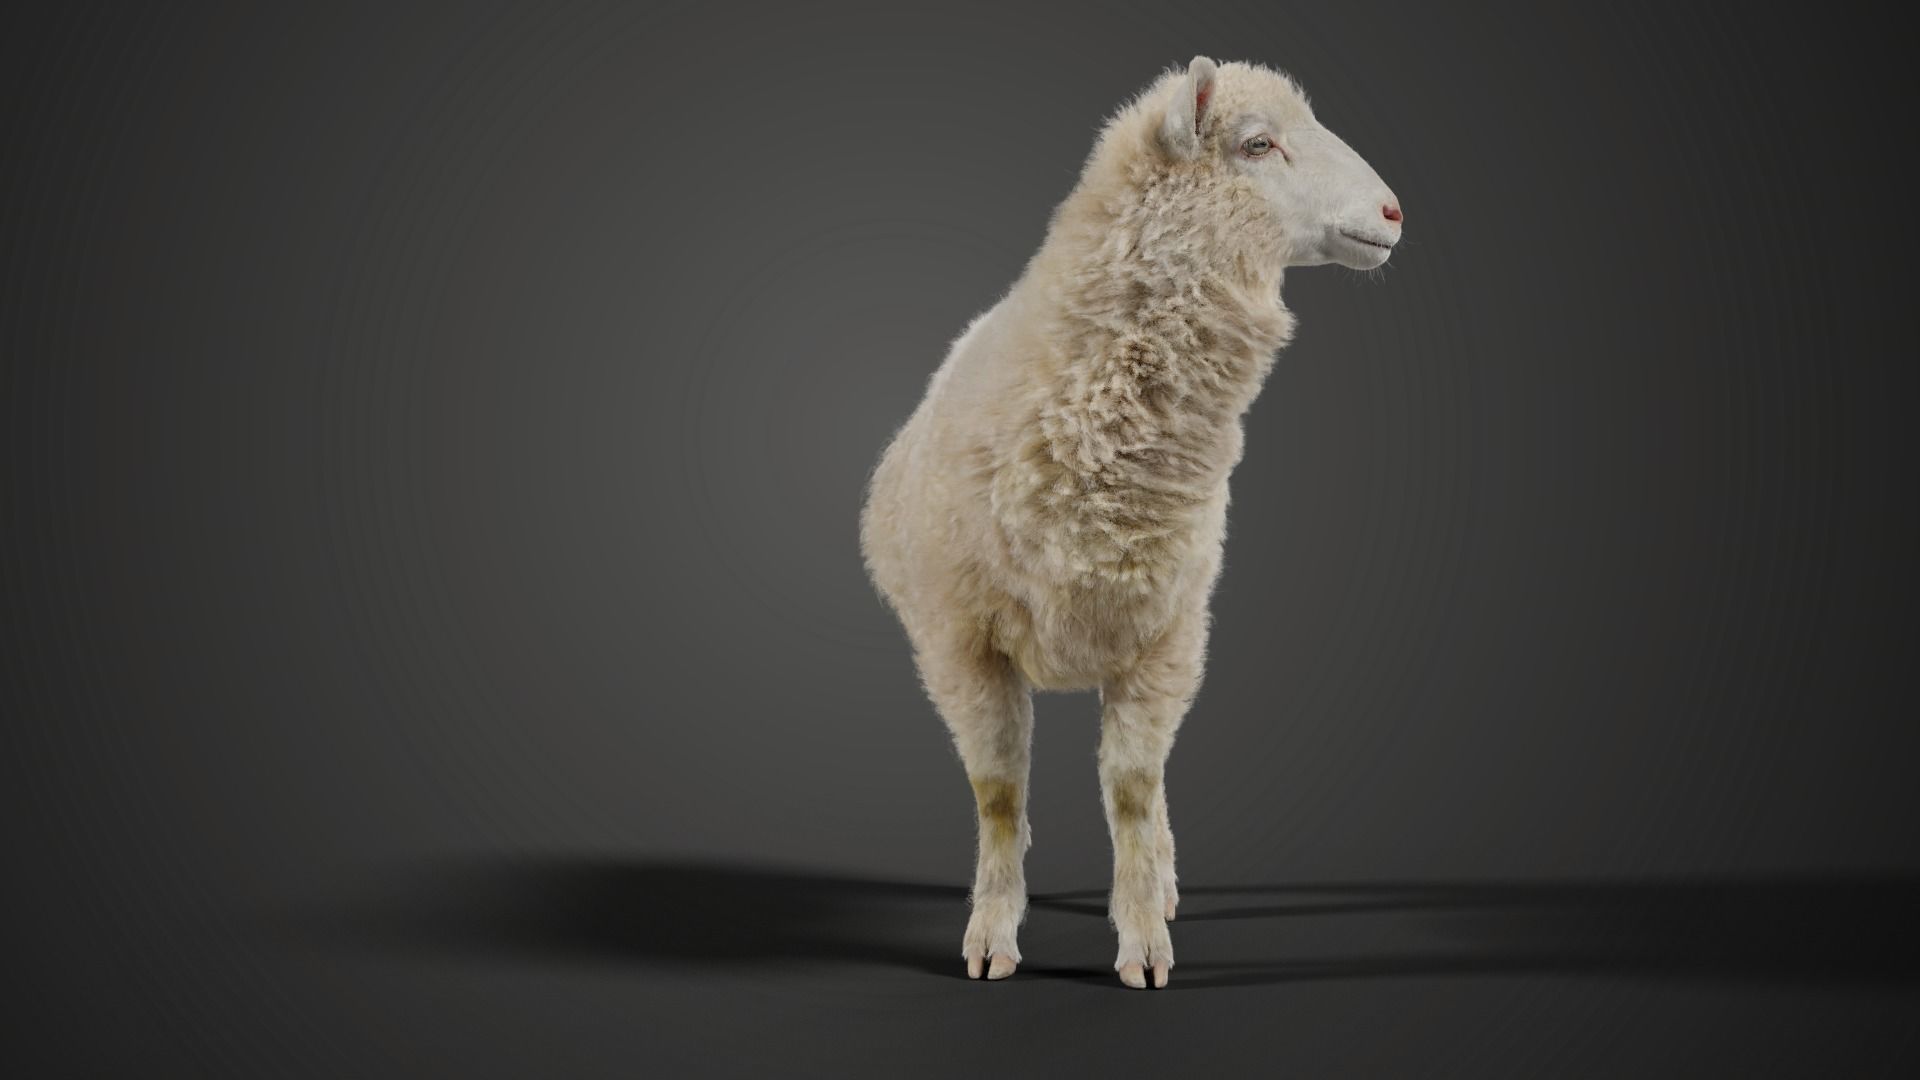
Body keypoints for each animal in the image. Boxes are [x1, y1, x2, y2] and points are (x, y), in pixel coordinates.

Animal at [858, 56, 1403, 989]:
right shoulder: (962, 644)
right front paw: (992, 932)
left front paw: (1144, 937)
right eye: (1257, 145)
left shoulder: (1164, 640)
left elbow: (1134, 792)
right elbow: (1000, 795)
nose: (1396, 212)